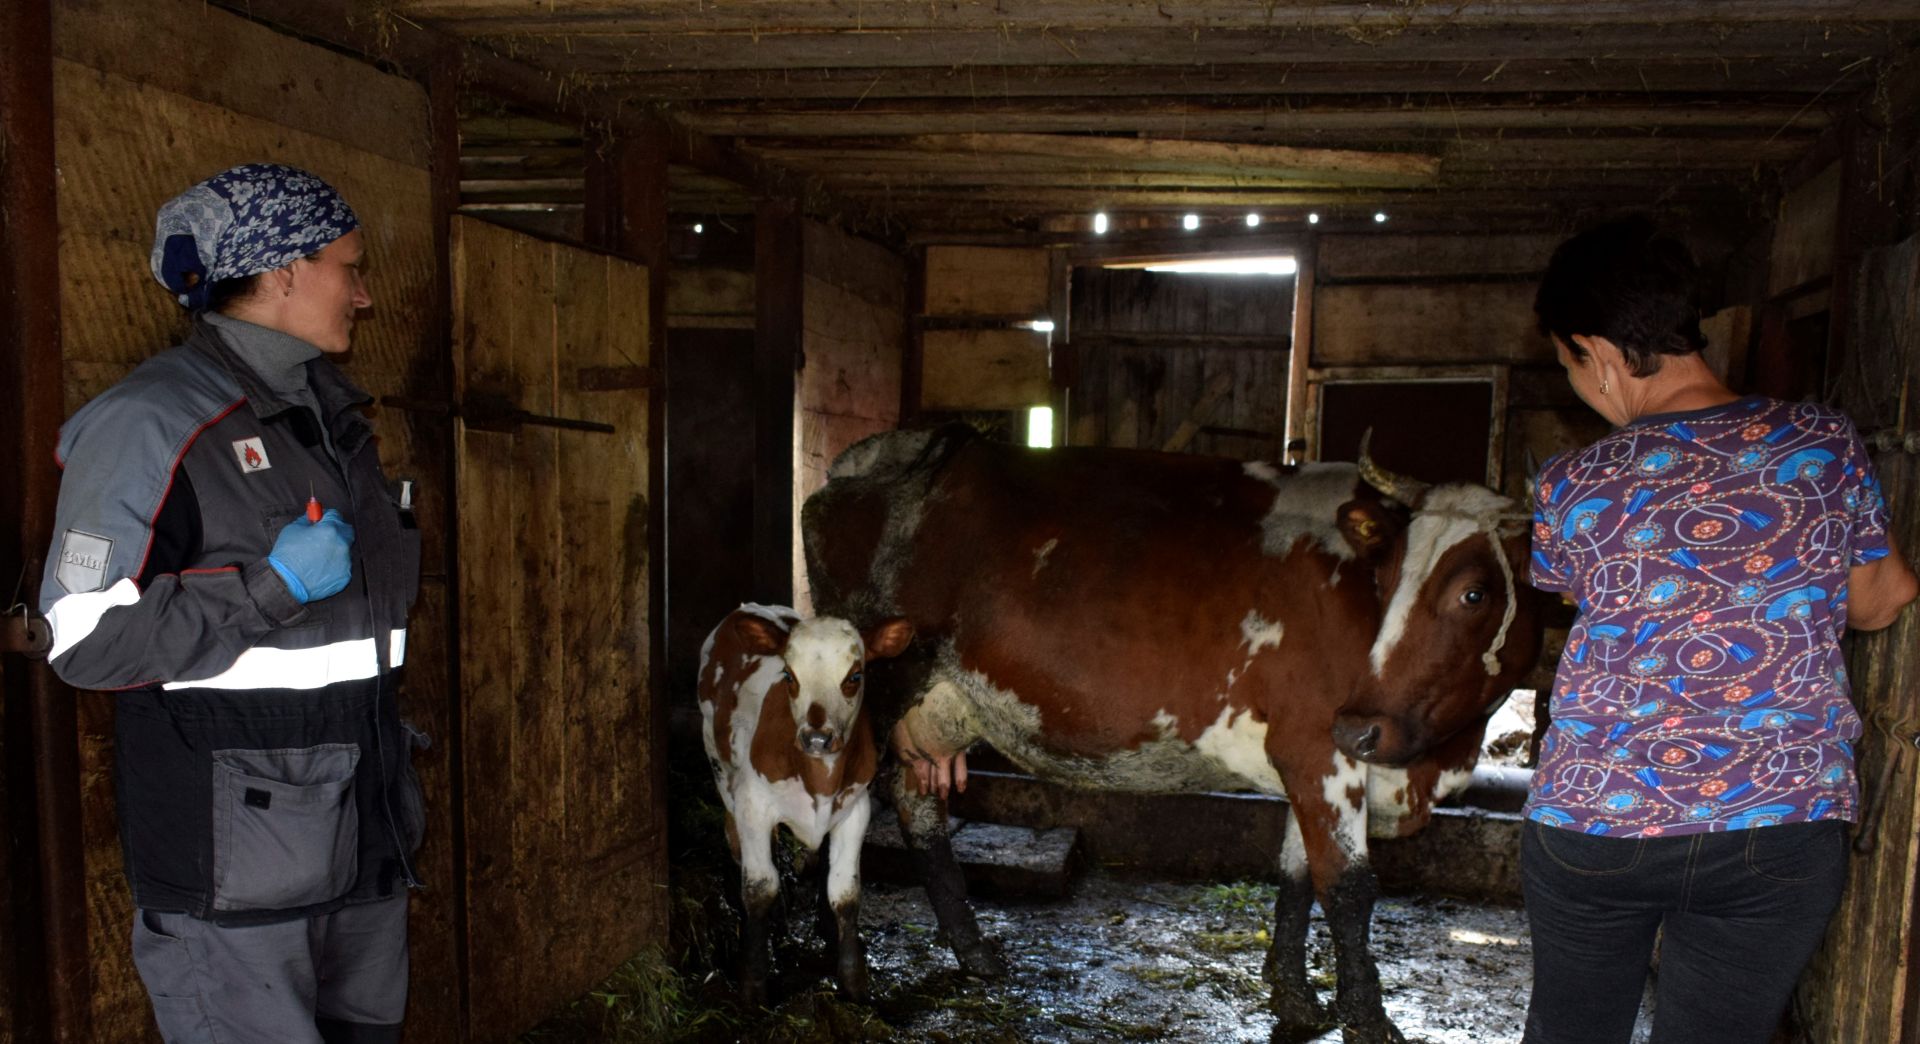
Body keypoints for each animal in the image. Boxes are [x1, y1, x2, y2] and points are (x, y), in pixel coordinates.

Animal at [702, 606, 917, 1005]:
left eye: (855, 675)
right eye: (789, 675)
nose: (817, 738)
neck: (819, 780)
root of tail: (750, 607)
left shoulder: (856, 810)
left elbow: (845, 893)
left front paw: (853, 984)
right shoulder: (753, 806)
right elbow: (759, 888)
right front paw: (753, 983)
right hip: (723, 774)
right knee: (738, 844)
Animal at [798, 426, 1543, 1044]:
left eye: (1474, 593)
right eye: (1386, 578)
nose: (1363, 725)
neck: (1430, 763)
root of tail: (874, 454)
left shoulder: (1315, 758)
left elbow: (1298, 874)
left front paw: (1294, 995)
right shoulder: (1318, 746)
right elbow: (1350, 888)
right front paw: (1369, 1021)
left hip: (939, 700)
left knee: (918, 804)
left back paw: (971, 950)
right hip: (865, 693)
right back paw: (837, 966)